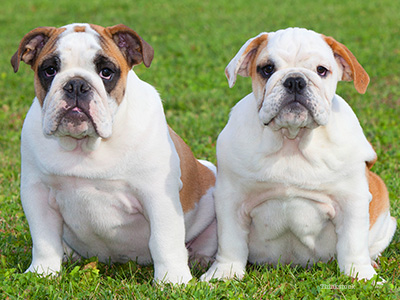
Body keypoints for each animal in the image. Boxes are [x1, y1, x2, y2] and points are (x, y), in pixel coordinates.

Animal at [12, 23, 217, 284]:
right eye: (49, 70)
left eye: (106, 72)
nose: (76, 84)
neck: (85, 146)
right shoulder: (36, 192)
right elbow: (44, 239)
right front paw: (42, 272)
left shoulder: (158, 195)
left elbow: (165, 239)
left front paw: (173, 280)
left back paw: (200, 259)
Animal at [203, 27, 396, 282]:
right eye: (267, 69)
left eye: (321, 70)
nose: (295, 80)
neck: (291, 141)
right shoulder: (231, 199)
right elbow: (230, 241)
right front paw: (224, 272)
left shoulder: (351, 199)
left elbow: (353, 243)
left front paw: (361, 275)